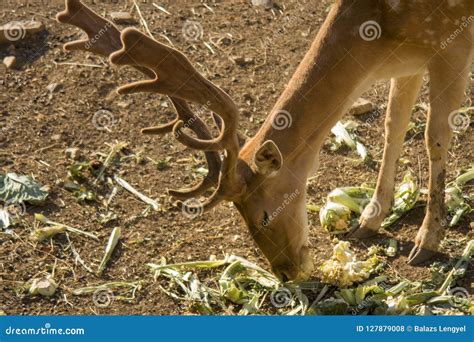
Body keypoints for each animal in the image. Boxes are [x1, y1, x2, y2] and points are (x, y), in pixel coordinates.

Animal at [56, 0, 474, 280]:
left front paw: (427, 241)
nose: (287, 273)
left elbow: (434, 137)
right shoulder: (406, 63)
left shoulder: (452, 46)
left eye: (265, 214)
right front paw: (368, 220)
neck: (381, 34)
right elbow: (392, 127)